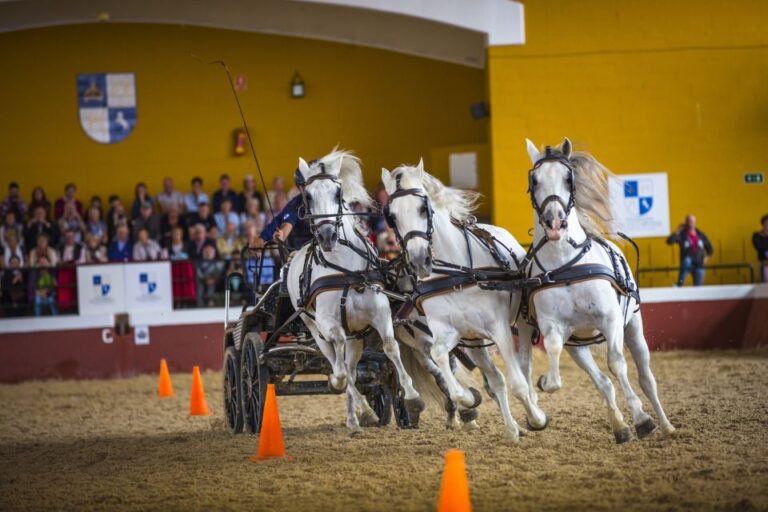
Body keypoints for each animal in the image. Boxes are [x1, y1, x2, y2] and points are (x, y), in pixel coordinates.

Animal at [284, 150, 426, 434]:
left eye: (338, 193)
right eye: (308, 196)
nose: (327, 236)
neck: (346, 269)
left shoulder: (380, 314)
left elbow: (391, 346)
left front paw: (412, 397)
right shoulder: (327, 322)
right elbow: (339, 366)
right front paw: (339, 385)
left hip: (357, 337)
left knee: (350, 365)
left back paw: (355, 418)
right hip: (313, 328)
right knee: (336, 361)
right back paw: (361, 411)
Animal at [380, 162, 544, 442]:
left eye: (423, 208)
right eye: (391, 216)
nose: (420, 260)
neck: (454, 274)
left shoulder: (499, 329)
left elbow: (518, 383)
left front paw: (536, 418)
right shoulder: (446, 333)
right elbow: (442, 360)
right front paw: (468, 399)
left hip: (520, 321)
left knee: (524, 366)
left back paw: (533, 412)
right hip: (473, 342)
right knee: (496, 379)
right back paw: (511, 428)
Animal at [524, 138, 676, 442]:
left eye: (568, 178)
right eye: (534, 180)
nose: (554, 221)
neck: (565, 264)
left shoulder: (611, 319)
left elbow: (617, 364)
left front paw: (642, 418)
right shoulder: (554, 327)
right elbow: (558, 367)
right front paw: (545, 381)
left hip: (633, 327)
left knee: (645, 378)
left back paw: (665, 424)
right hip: (578, 346)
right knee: (603, 382)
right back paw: (619, 427)